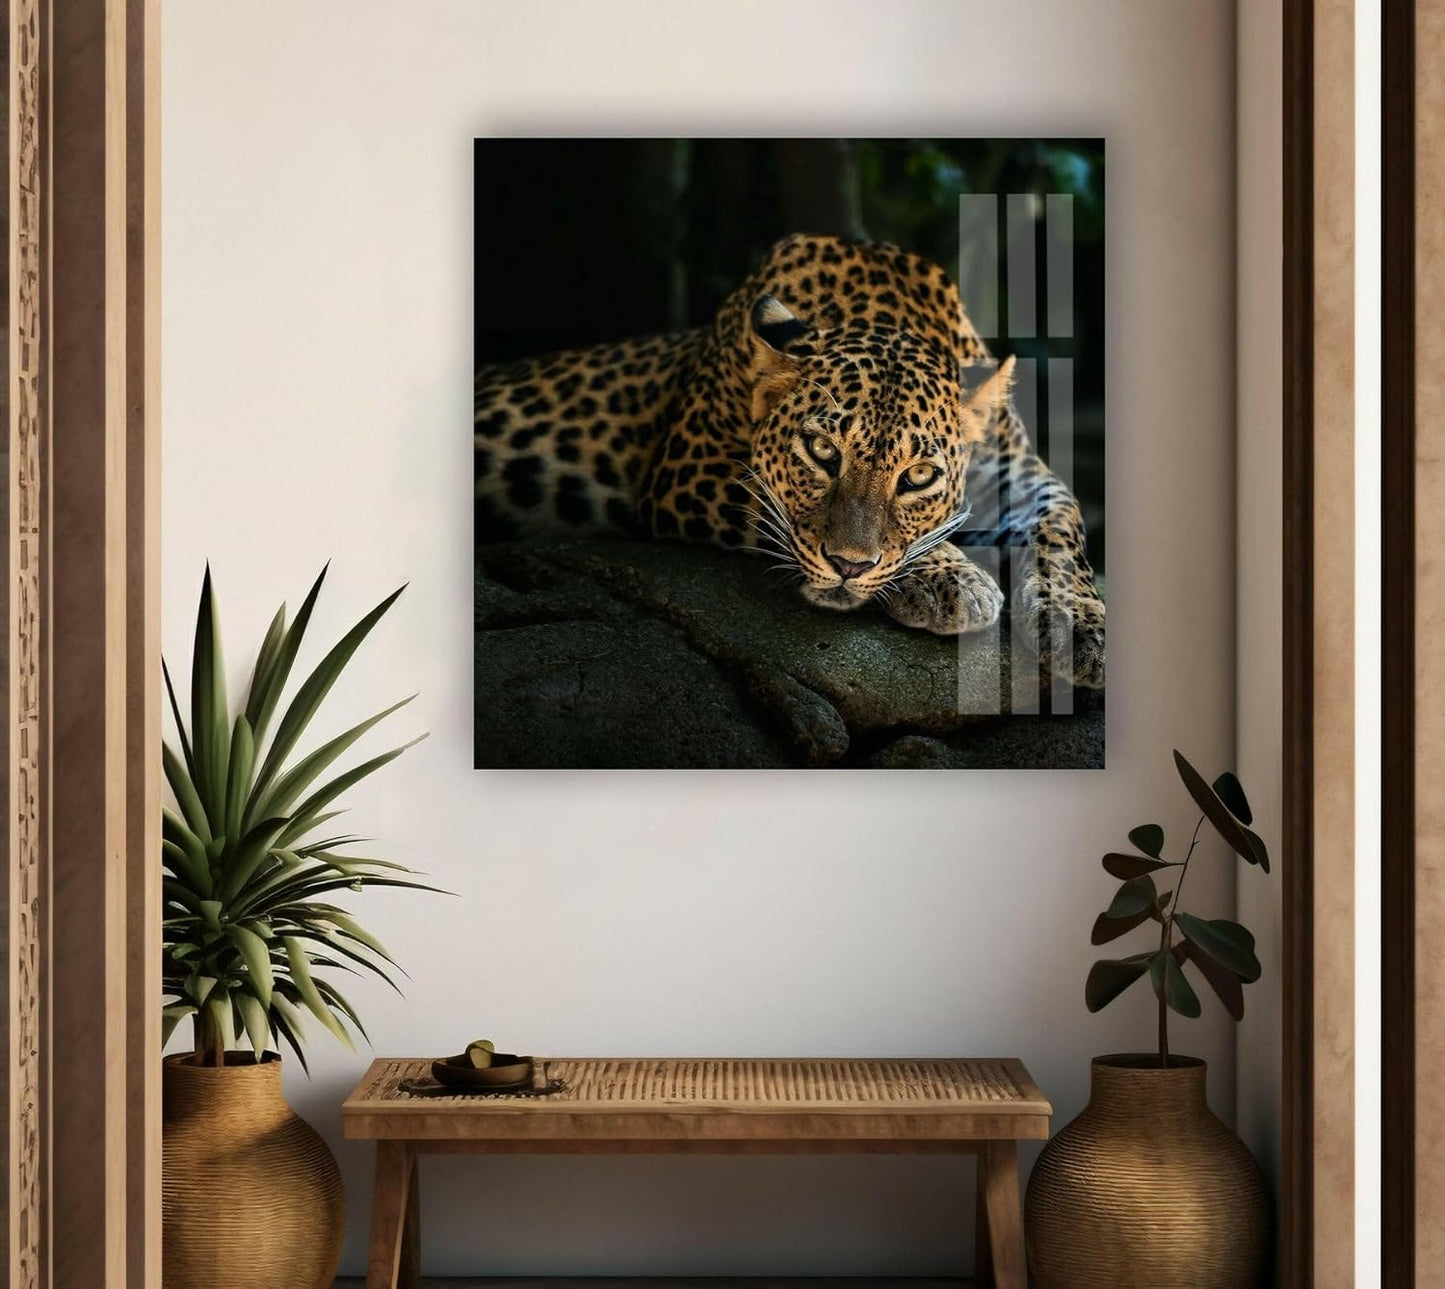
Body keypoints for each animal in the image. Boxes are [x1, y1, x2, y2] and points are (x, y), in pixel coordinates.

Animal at [474, 232, 1104, 688]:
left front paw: (1080, 630)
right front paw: (953, 578)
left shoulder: (1018, 474)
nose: (848, 565)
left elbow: (1061, 525)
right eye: (822, 452)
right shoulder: (687, 466)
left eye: (918, 476)